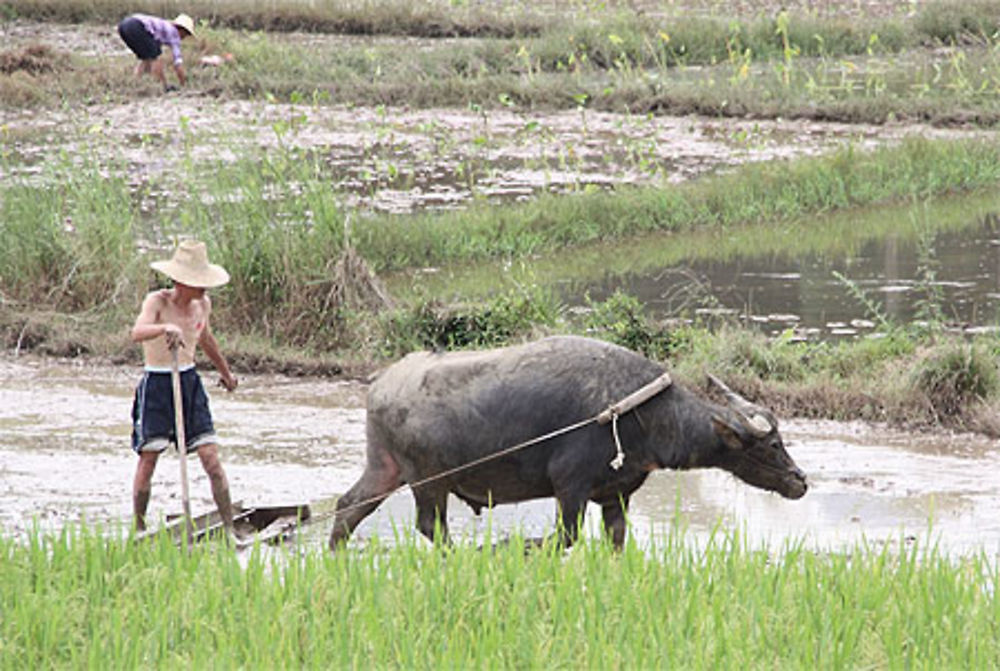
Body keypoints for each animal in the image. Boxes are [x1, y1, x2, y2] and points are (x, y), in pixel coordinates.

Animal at [332, 336, 808, 552]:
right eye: (772, 444)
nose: (801, 480)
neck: (640, 414)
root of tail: (382, 384)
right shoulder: (570, 486)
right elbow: (564, 537)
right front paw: (509, 547)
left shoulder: (615, 495)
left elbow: (617, 539)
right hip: (428, 482)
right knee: (432, 527)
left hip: (385, 469)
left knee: (348, 507)